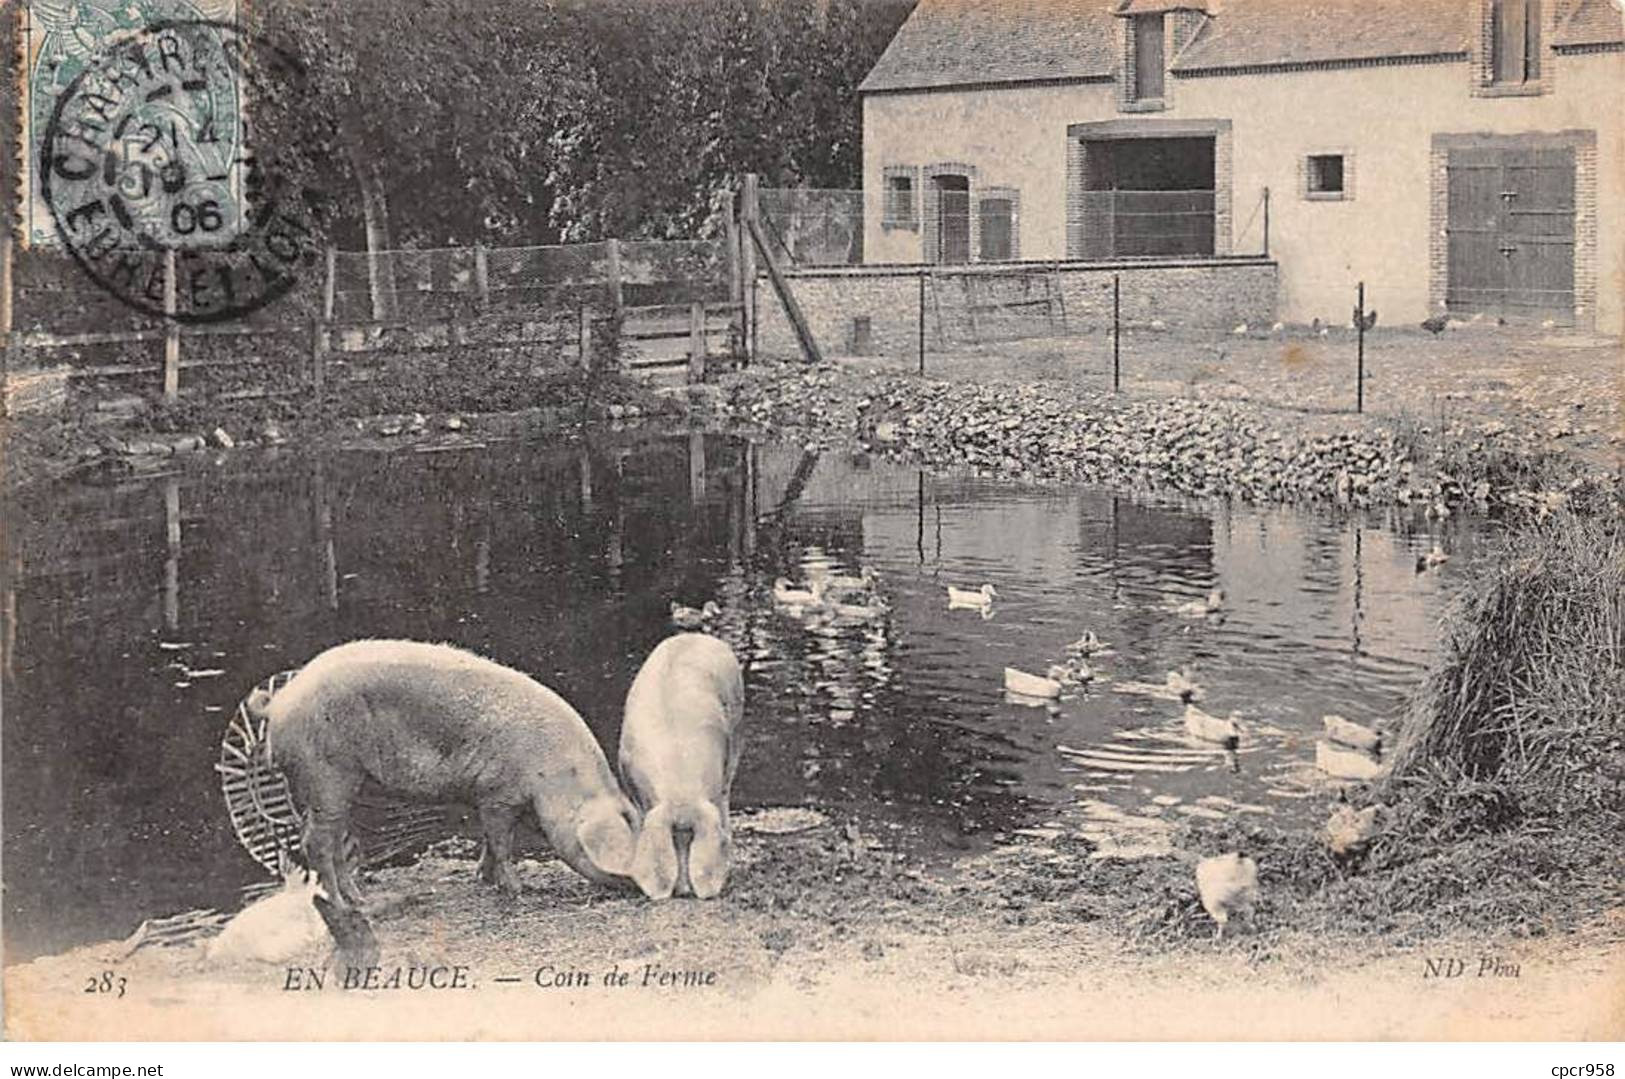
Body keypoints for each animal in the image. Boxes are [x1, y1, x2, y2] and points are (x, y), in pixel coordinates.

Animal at [247, 640, 640, 910]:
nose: (646, 888)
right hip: (325, 775)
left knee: (332, 841)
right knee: (315, 842)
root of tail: (279, 702)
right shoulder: (498, 793)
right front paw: (518, 891)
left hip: (334, 785)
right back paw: (347, 905)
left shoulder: (486, 797)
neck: (554, 777)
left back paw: (358, 898)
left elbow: (489, 841)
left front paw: (483, 879)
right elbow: (502, 843)